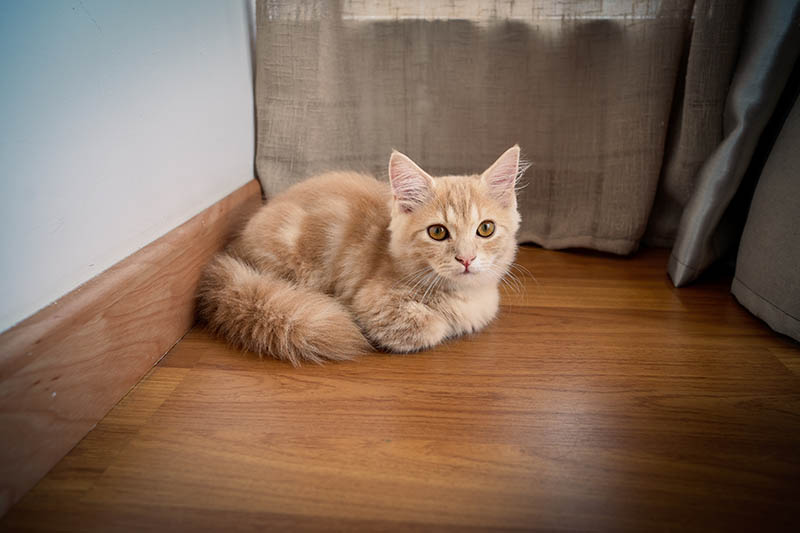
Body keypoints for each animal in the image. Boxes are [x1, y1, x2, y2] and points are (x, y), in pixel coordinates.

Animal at [198, 145, 524, 364]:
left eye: (485, 229)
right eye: (438, 232)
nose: (466, 259)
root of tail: (235, 252)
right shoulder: (374, 303)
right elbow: (431, 326)